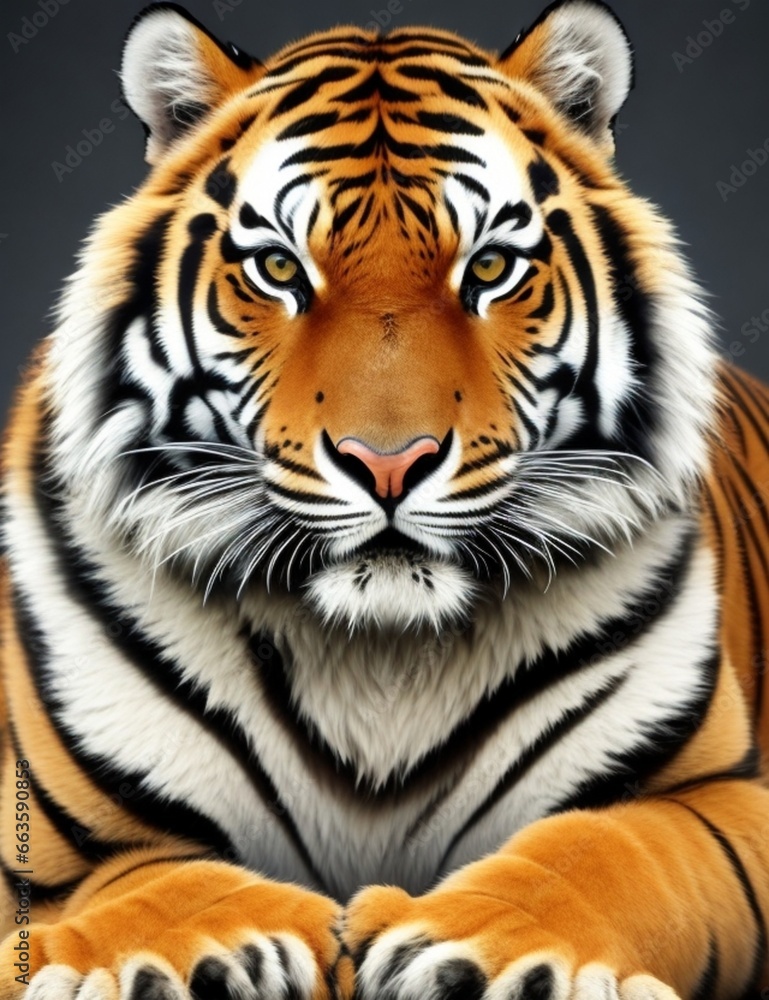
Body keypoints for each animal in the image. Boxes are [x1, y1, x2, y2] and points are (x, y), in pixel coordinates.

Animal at [2, 0, 769, 996]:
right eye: (279, 270)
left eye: (489, 268)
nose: (390, 463)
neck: (378, 655)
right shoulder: (48, 857)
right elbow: (144, 882)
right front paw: (144, 952)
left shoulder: (720, 796)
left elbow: (609, 849)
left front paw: (479, 943)